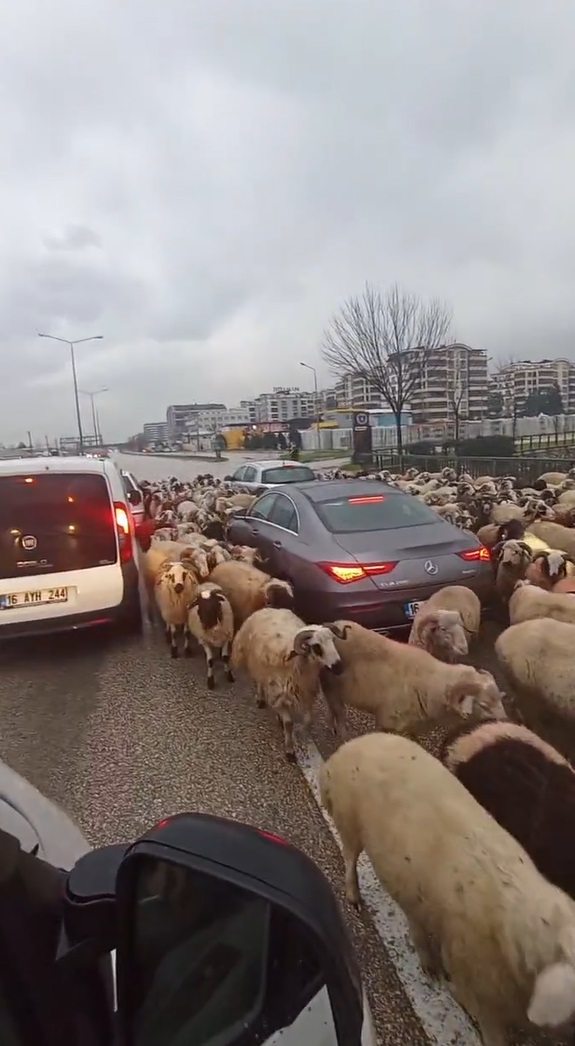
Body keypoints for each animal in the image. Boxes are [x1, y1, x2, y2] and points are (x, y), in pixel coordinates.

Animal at [319, 615, 505, 740]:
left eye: (499, 698)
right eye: (483, 704)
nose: (504, 721)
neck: (428, 682)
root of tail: (334, 625)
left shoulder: (415, 725)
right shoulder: (387, 722)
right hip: (331, 687)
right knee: (339, 712)